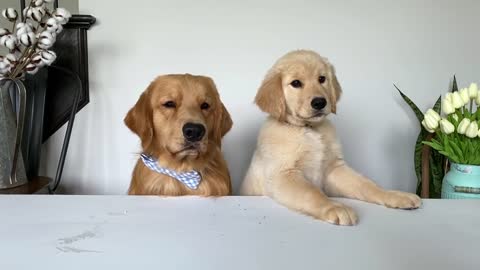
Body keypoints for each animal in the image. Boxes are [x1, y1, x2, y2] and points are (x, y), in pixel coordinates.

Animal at [240, 49, 420, 225]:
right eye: (296, 83)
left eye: (322, 79)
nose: (320, 102)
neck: (309, 129)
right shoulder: (283, 174)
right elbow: (312, 192)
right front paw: (335, 207)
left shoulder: (334, 168)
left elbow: (366, 184)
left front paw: (393, 194)